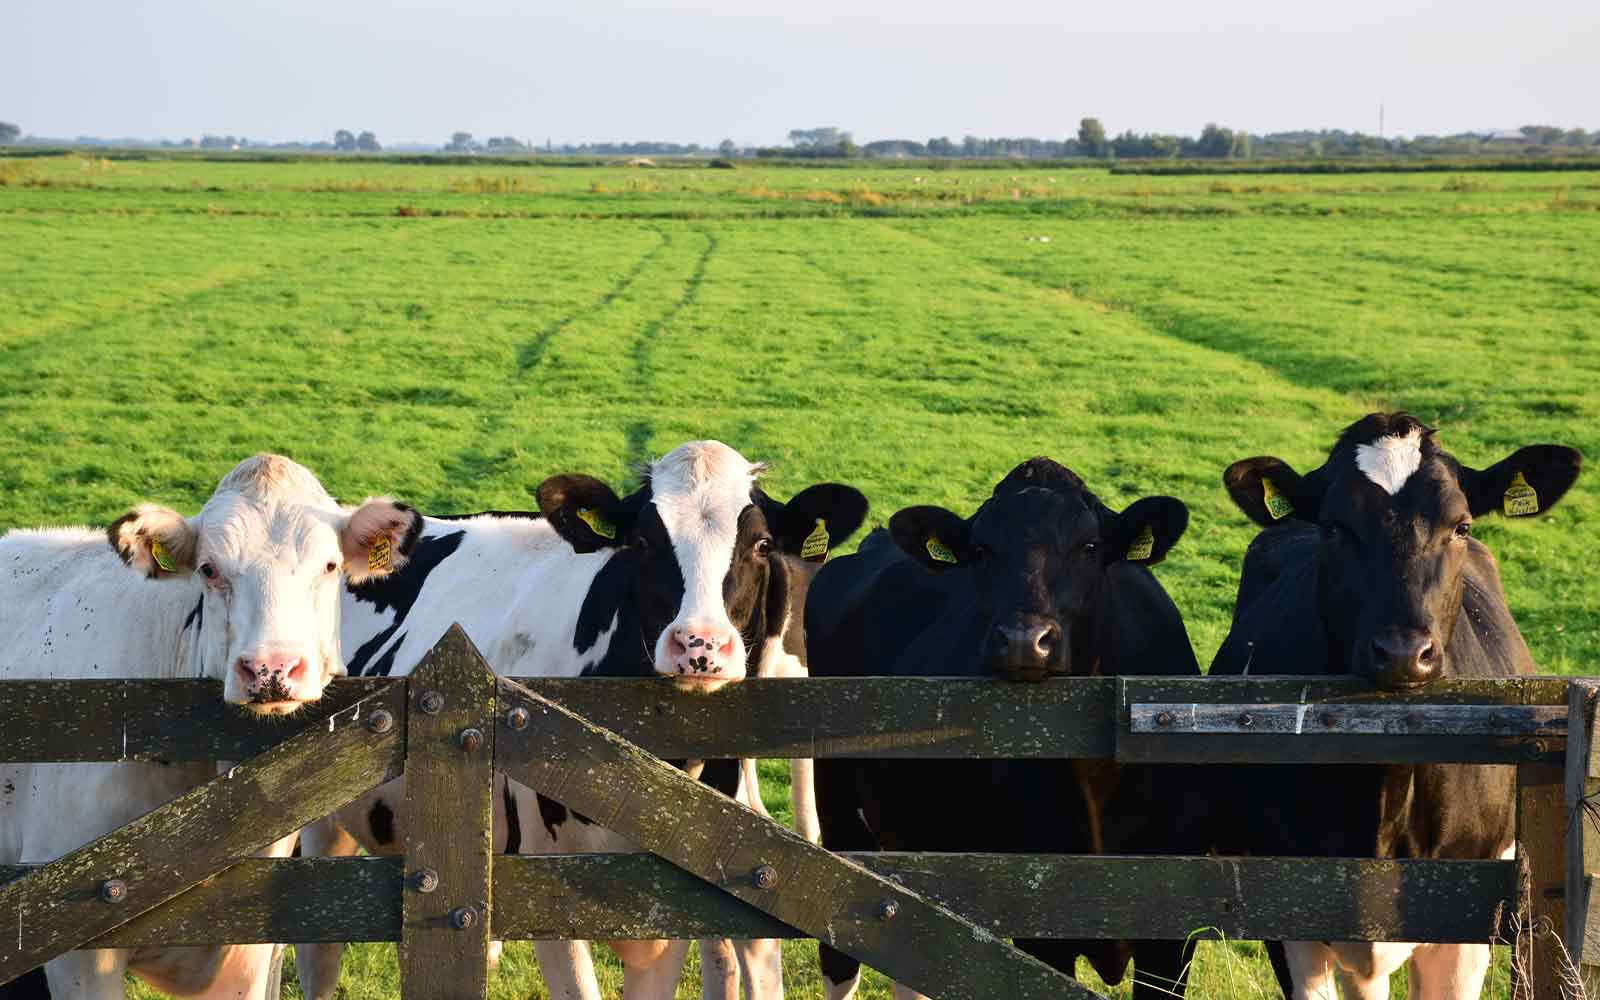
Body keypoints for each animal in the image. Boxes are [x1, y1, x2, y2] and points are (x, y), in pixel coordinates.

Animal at [806, 457, 1203, 998]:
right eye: (981, 550)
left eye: (1090, 545)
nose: (1023, 640)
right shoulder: (1039, 922)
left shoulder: (1172, 936)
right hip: (840, 814)